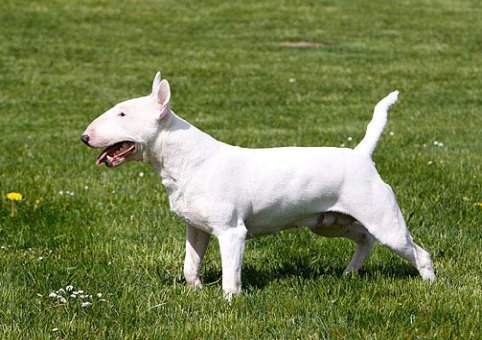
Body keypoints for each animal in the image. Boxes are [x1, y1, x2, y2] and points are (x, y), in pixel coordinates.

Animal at [81, 72, 434, 300]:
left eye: (123, 113)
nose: (85, 137)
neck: (188, 161)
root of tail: (361, 155)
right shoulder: (195, 228)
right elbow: (190, 266)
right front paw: (196, 292)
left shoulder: (231, 232)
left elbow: (230, 274)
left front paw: (230, 303)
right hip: (329, 223)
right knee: (365, 239)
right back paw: (349, 273)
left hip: (384, 220)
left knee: (418, 252)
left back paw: (430, 285)